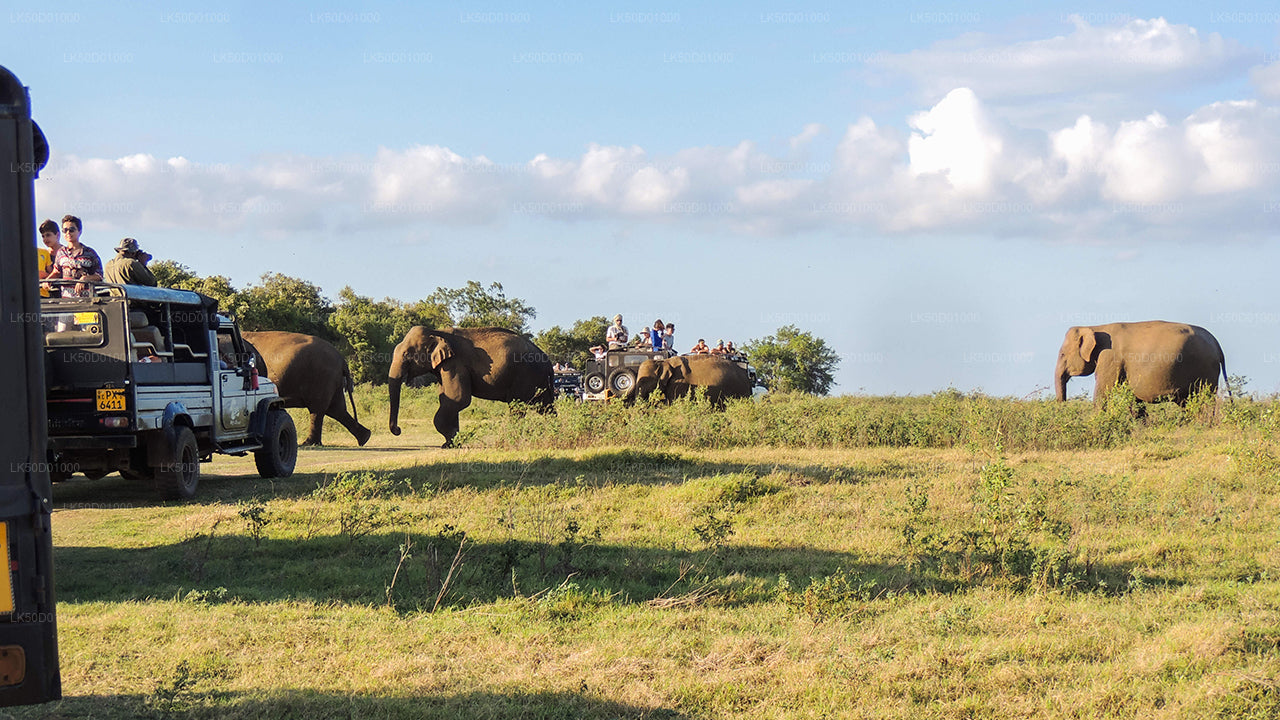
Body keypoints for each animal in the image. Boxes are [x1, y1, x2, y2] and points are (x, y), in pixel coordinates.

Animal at [242, 331, 371, 447]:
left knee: (318, 409)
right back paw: (364, 438)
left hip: (321, 378)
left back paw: (308, 443)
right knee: (336, 409)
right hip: (333, 381)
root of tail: (341, 359)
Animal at [387, 326, 553, 447]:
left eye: (407, 355)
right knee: (545, 407)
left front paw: (451, 443)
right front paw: (450, 443)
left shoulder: (455, 364)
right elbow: (446, 399)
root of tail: (547, 361)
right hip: (539, 381)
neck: (437, 332)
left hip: (525, 376)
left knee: (517, 406)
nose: (398, 430)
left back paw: (512, 439)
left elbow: (458, 399)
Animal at [1054, 321, 1228, 406]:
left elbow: (1102, 394)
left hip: (1206, 368)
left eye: (1062, 354)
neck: (1096, 327)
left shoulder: (1110, 359)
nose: (1064, 406)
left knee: (1204, 398)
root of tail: (1217, 344)